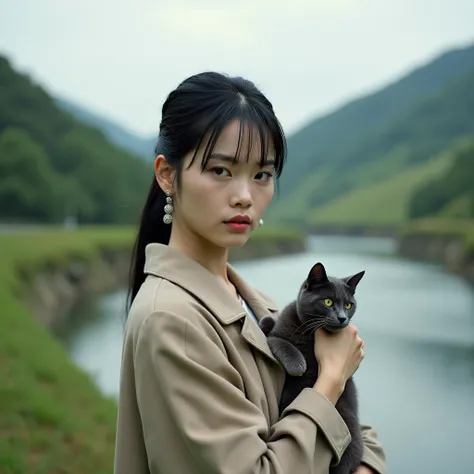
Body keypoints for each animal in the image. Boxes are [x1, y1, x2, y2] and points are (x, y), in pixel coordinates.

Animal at [262, 262, 364, 474]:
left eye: (349, 305)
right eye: (328, 302)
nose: (342, 317)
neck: (309, 333)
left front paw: (298, 365)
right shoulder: (279, 334)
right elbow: (277, 338)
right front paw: (298, 364)